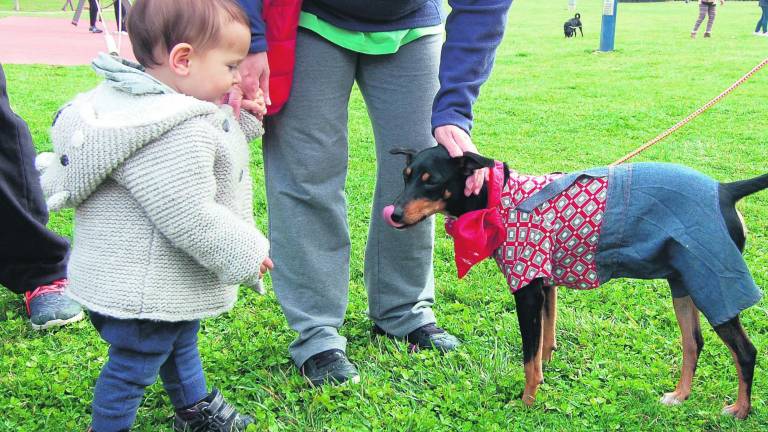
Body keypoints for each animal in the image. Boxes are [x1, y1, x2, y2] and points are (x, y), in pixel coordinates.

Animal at [384, 145, 768, 418]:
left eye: (431, 180)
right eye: (406, 176)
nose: (395, 215)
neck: (500, 199)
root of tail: (724, 191)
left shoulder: (527, 290)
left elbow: (529, 357)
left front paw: (526, 402)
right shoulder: (545, 285)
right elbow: (544, 344)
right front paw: (543, 376)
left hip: (714, 283)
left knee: (745, 351)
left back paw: (741, 410)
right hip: (684, 283)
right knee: (693, 343)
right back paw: (680, 395)